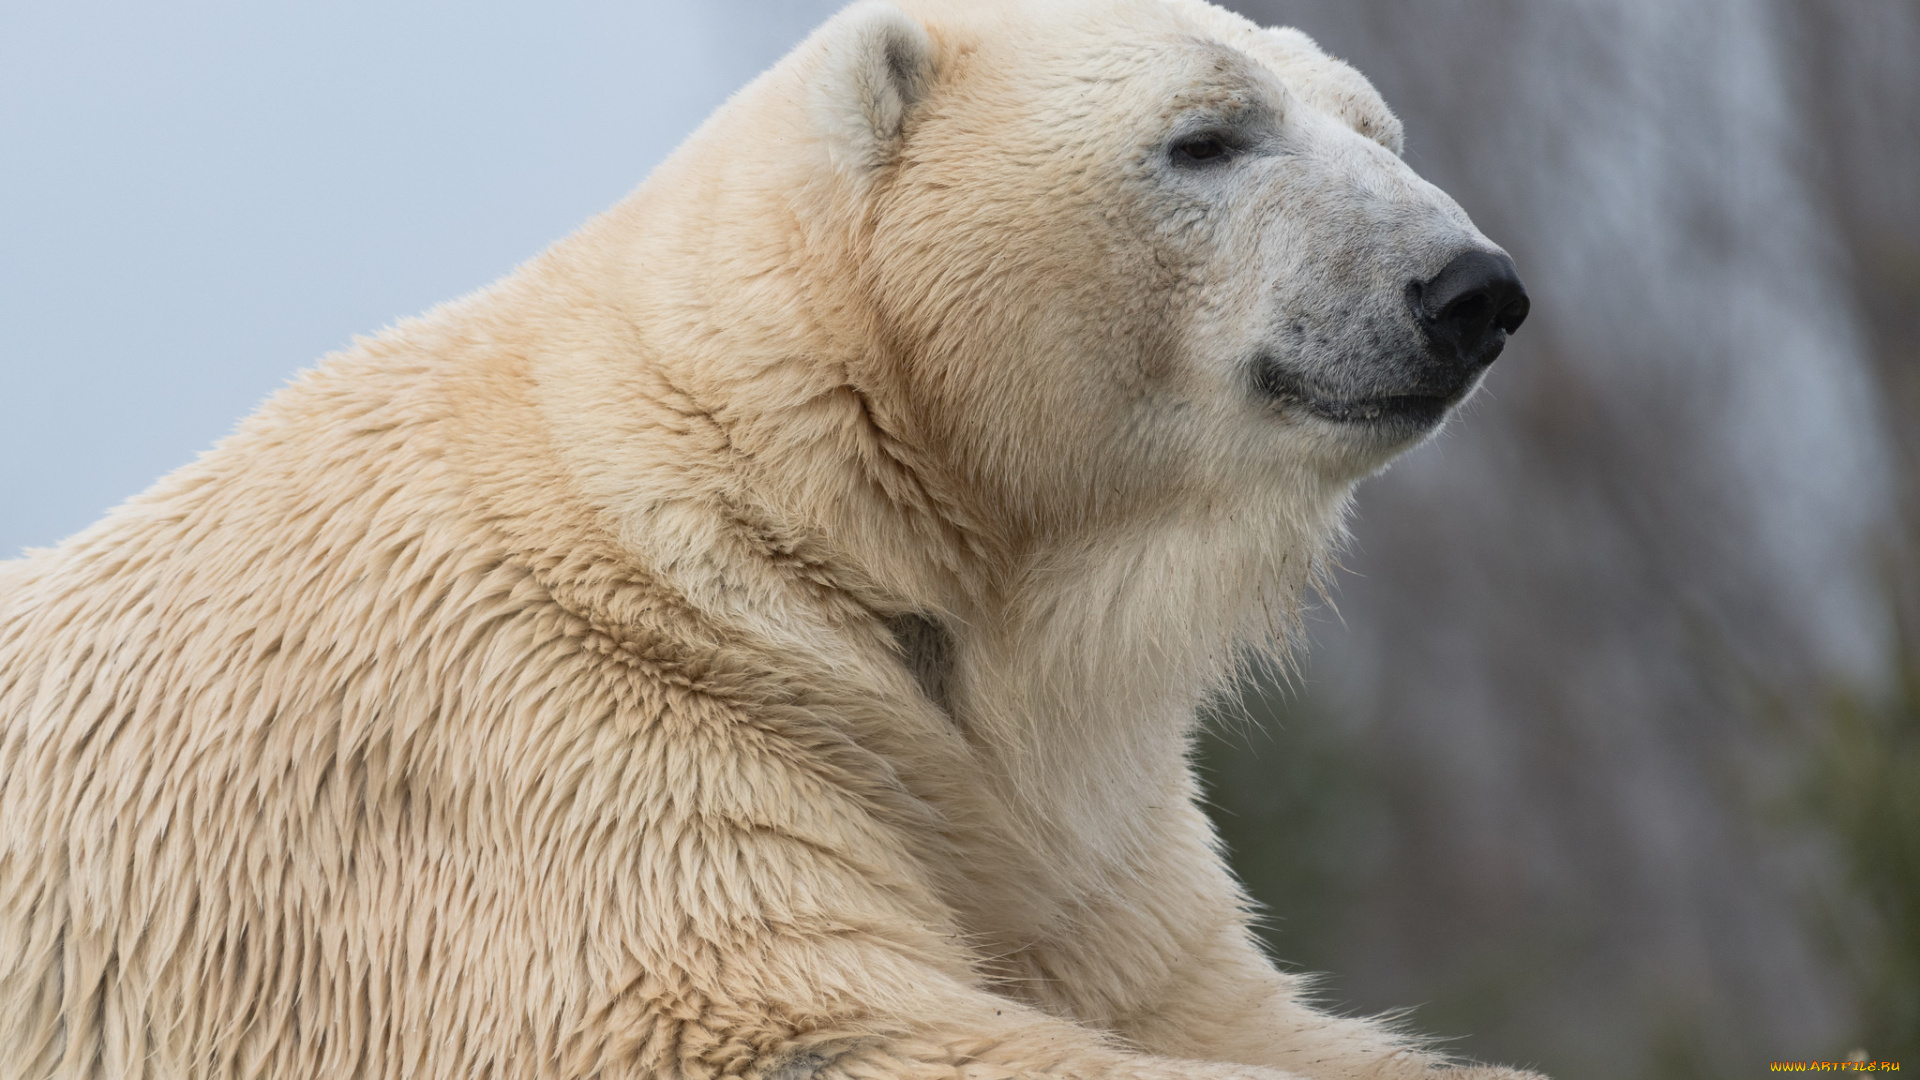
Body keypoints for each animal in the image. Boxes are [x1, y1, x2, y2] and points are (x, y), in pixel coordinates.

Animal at [0, 2, 1528, 1076]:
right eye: (1207, 134)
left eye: (1379, 128)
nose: (1470, 288)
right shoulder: (555, 741)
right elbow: (770, 1023)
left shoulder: (1070, 823)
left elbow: (1203, 1005)